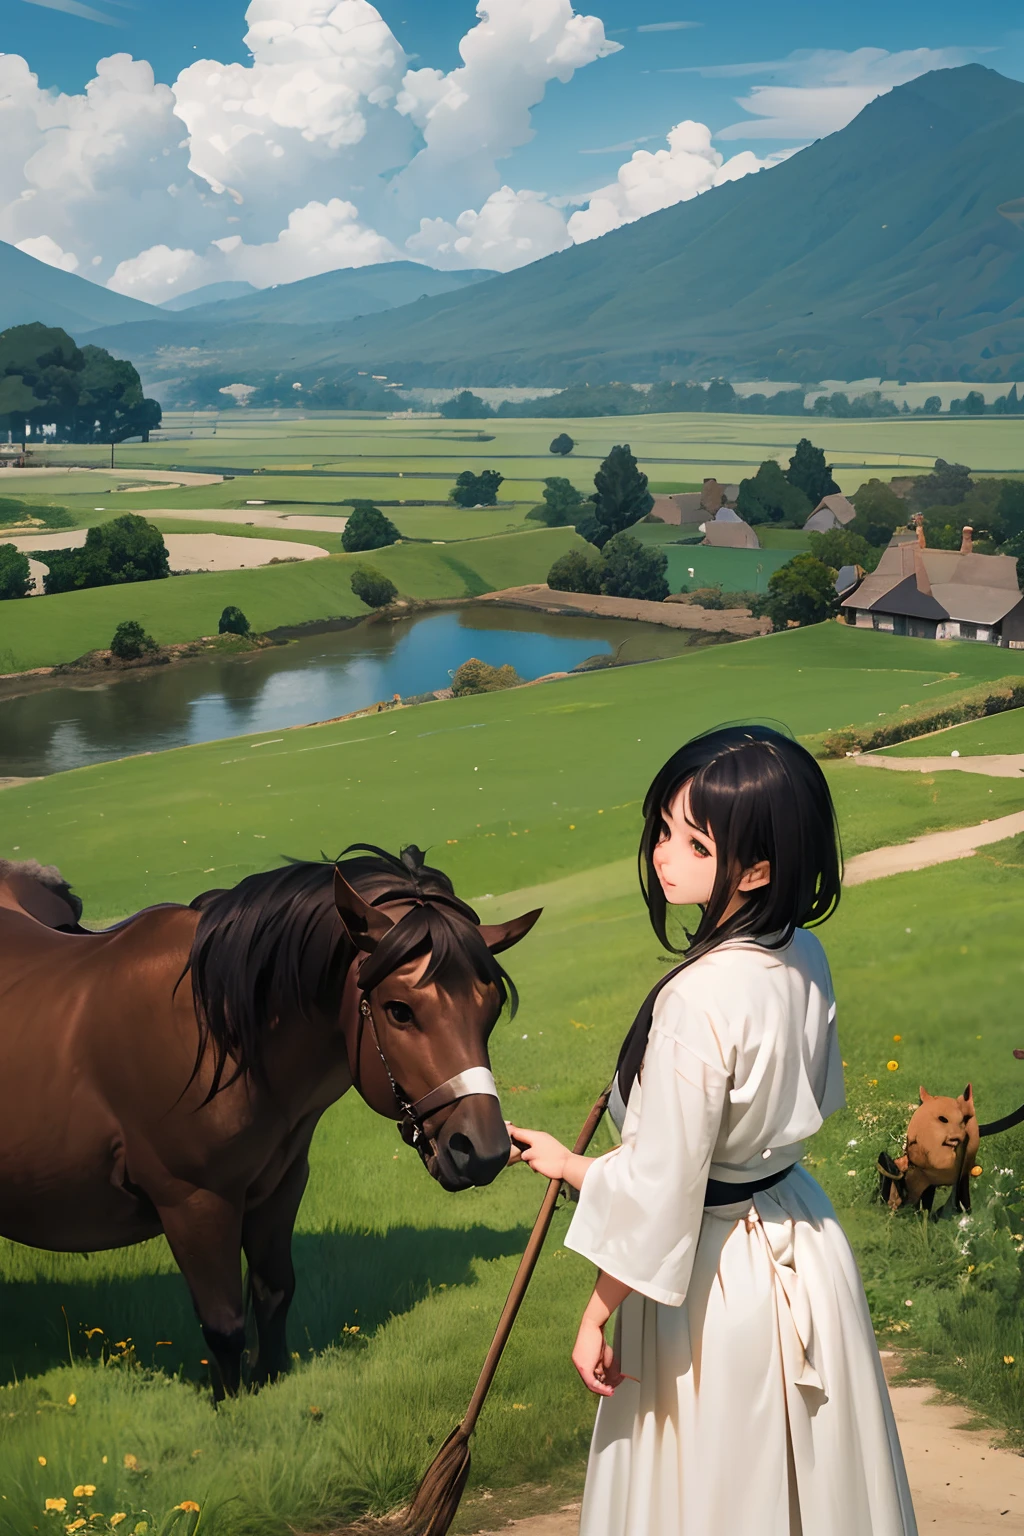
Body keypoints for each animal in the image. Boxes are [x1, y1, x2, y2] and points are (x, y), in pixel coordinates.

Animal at [0, 847, 537, 1400]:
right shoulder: (194, 1202)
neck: (217, 1031)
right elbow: (224, 1326)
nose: (484, 1150)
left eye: (492, 1009)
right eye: (399, 1010)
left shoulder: (278, 1186)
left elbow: (274, 1292)